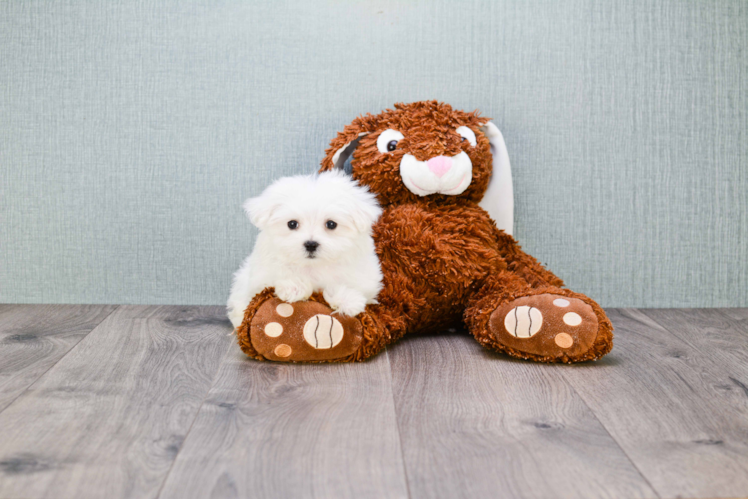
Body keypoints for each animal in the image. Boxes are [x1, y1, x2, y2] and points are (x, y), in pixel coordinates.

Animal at [226, 170, 380, 330]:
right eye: (292, 224)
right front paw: (294, 287)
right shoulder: (261, 276)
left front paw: (348, 300)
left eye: (331, 224)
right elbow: (274, 279)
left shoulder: (365, 278)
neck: (312, 266)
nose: (311, 244)